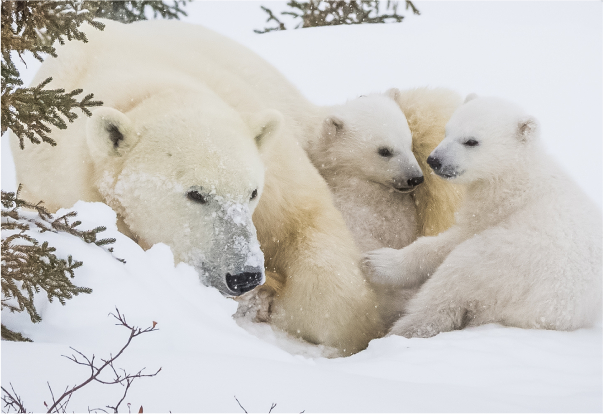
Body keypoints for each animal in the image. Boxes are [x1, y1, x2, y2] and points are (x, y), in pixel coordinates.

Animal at [9, 19, 382, 356]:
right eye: (196, 194)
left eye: (252, 192)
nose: (245, 275)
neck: (148, 93)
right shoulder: (63, 189)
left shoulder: (273, 163)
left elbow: (307, 223)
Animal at [364, 94, 603, 336]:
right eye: (447, 131)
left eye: (471, 141)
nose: (434, 160)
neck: (516, 171)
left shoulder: (497, 206)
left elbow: (451, 240)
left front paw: (377, 261)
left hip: (507, 263)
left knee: (452, 281)